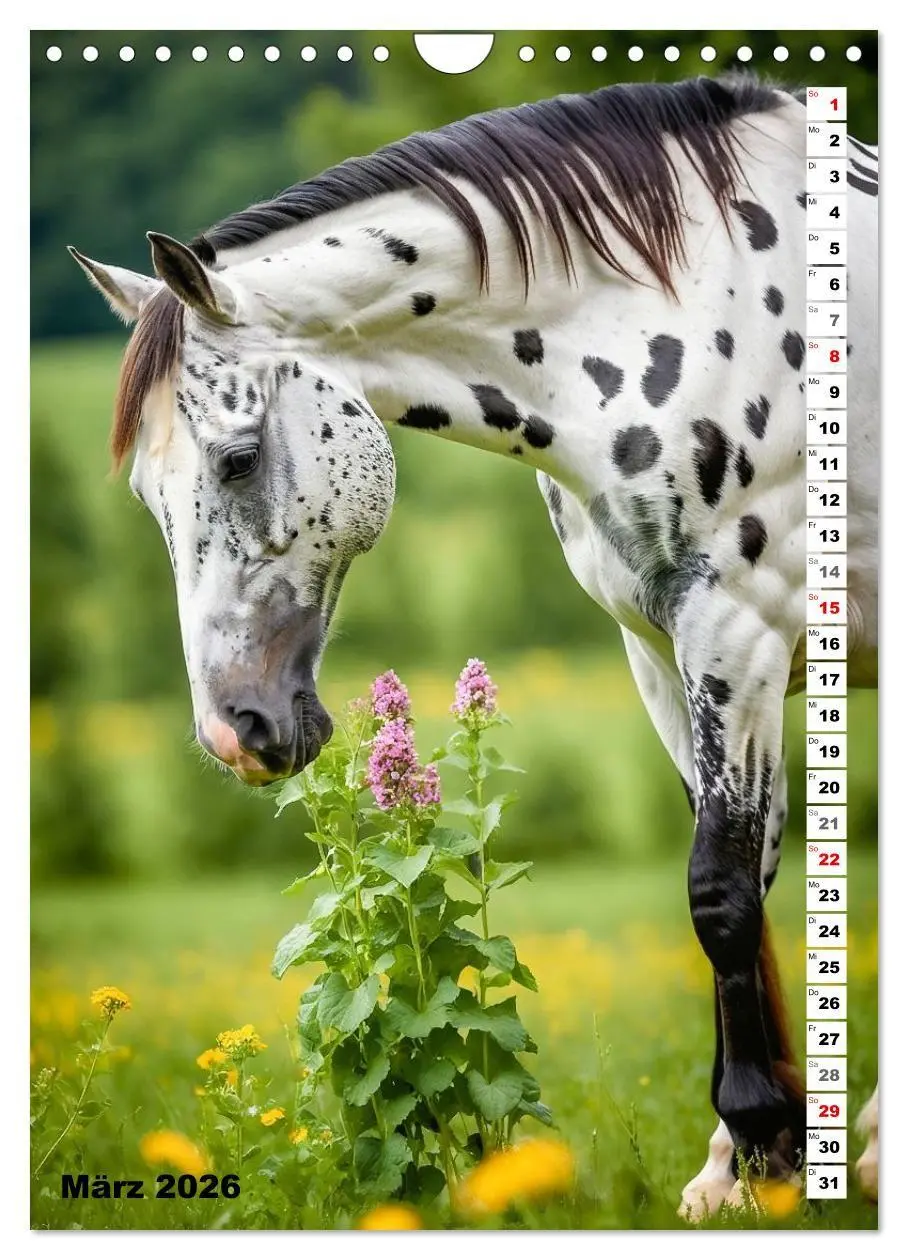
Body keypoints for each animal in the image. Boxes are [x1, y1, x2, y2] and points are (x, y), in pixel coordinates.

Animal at [69, 73, 879, 1216]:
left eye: (235, 459)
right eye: (147, 493)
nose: (236, 732)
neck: (690, 309)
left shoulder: (740, 632)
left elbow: (719, 893)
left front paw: (764, 1139)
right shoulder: (660, 650)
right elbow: (751, 878)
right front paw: (746, 1166)